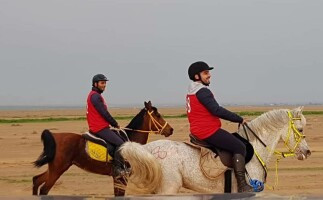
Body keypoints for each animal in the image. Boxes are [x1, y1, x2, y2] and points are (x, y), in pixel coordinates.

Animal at [32, 101, 175, 196]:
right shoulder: (121, 178)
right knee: (44, 190)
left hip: (55, 168)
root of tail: (55, 136)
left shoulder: (119, 178)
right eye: (157, 115)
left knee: (36, 180)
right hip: (58, 169)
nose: (170, 129)